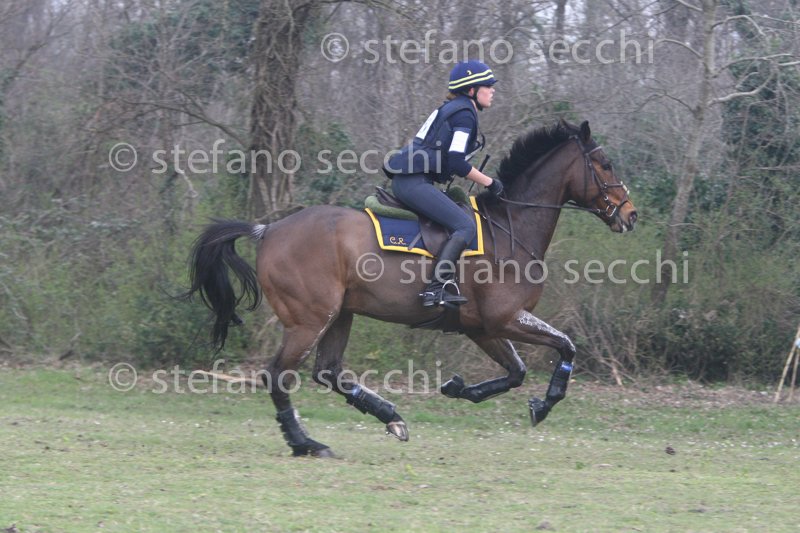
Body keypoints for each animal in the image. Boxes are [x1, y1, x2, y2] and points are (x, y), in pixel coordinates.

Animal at [185, 119, 638, 457]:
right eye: (606, 164)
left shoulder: (482, 327)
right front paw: (544, 404)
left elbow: (516, 371)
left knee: (328, 371)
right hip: (309, 320)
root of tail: (268, 230)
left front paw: (459, 388)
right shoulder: (503, 319)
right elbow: (566, 347)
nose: (630, 215)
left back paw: (391, 418)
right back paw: (305, 443)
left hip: (340, 314)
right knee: (279, 376)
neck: (511, 228)